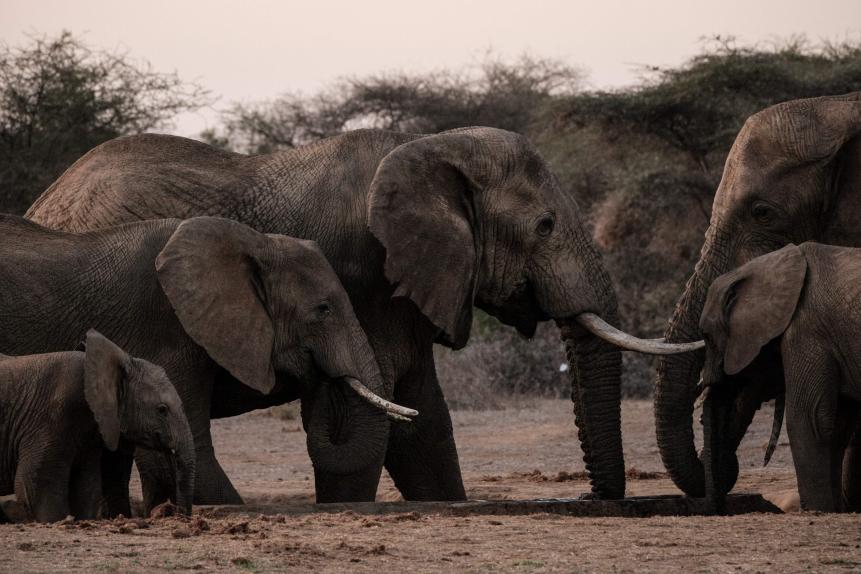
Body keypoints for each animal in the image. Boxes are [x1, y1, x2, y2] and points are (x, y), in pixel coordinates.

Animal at [26, 127, 700, 504]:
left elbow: (424, 427)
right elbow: (363, 424)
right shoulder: (358, 275)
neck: (430, 152)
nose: (592, 495)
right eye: (544, 226)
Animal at [700, 245, 860, 516]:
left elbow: (809, 418)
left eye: (706, 336)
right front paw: (833, 510)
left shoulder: (806, 330)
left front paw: (817, 510)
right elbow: (837, 426)